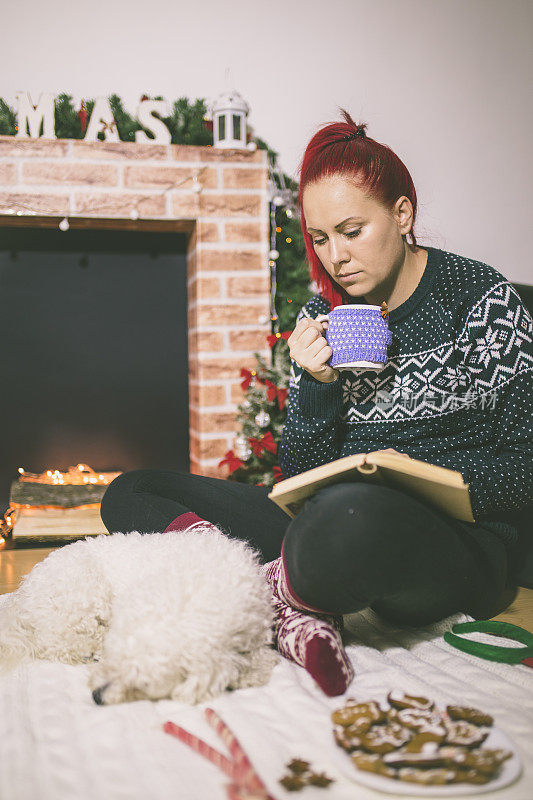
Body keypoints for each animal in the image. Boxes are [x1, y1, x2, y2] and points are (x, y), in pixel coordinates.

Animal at [0, 528, 276, 704]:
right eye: (116, 658)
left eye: (141, 685)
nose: (96, 696)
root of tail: (23, 593)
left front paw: (253, 670)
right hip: (82, 593)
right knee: (54, 641)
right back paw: (89, 649)